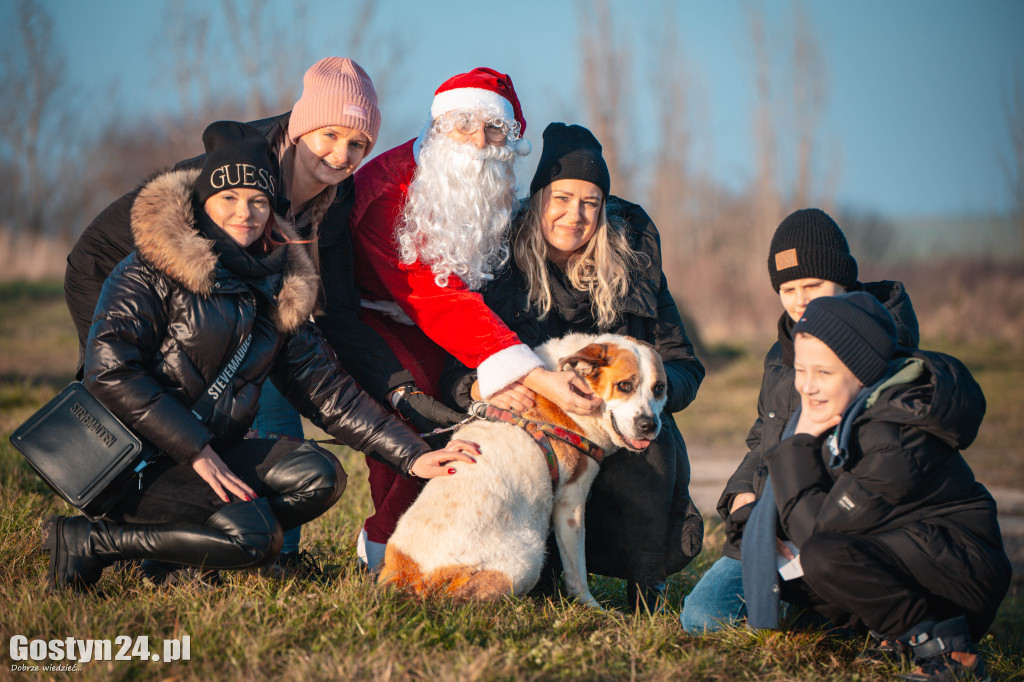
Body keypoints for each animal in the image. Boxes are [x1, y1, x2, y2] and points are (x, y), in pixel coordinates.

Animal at [380, 331, 667, 602]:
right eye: (624, 386)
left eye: (659, 389)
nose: (648, 425)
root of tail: (411, 575)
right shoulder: (570, 502)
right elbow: (577, 569)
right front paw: (591, 606)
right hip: (529, 559)